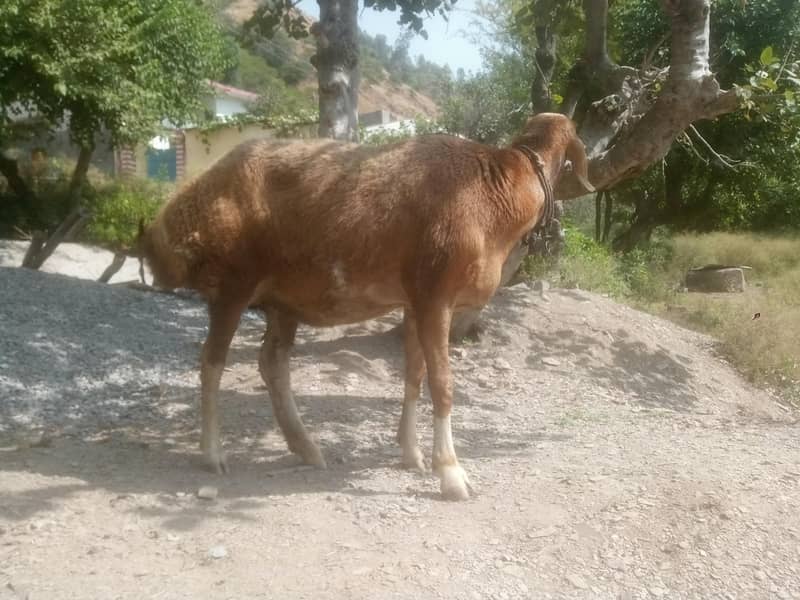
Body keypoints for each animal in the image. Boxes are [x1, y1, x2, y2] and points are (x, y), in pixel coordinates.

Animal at [139, 112, 594, 501]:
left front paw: (411, 454)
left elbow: (413, 375)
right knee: (212, 364)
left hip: (281, 299)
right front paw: (451, 473)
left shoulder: (415, 302)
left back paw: (306, 447)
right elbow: (442, 385)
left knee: (272, 363)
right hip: (233, 285)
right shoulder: (436, 296)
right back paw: (213, 453)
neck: (497, 189)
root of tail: (177, 211)